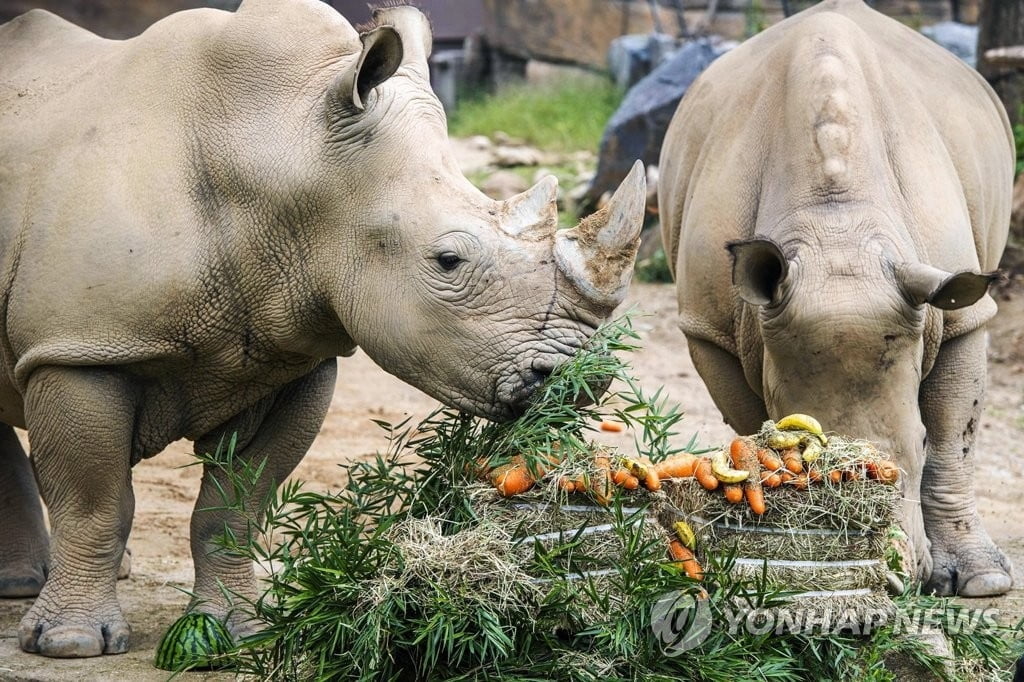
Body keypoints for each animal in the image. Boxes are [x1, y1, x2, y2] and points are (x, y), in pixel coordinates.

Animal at [0, 1, 643, 659]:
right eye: (448, 261)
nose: (577, 382)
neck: (293, 154)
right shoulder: (80, 347)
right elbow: (94, 501)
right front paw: (69, 644)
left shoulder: (289, 353)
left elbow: (234, 506)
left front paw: (236, 633)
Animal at [659, 0, 1011, 593]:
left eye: (918, 445)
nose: (894, 579)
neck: (836, 226)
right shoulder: (710, 326)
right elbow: (753, 432)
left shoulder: (958, 307)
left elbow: (953, 436)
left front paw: (982, 582)